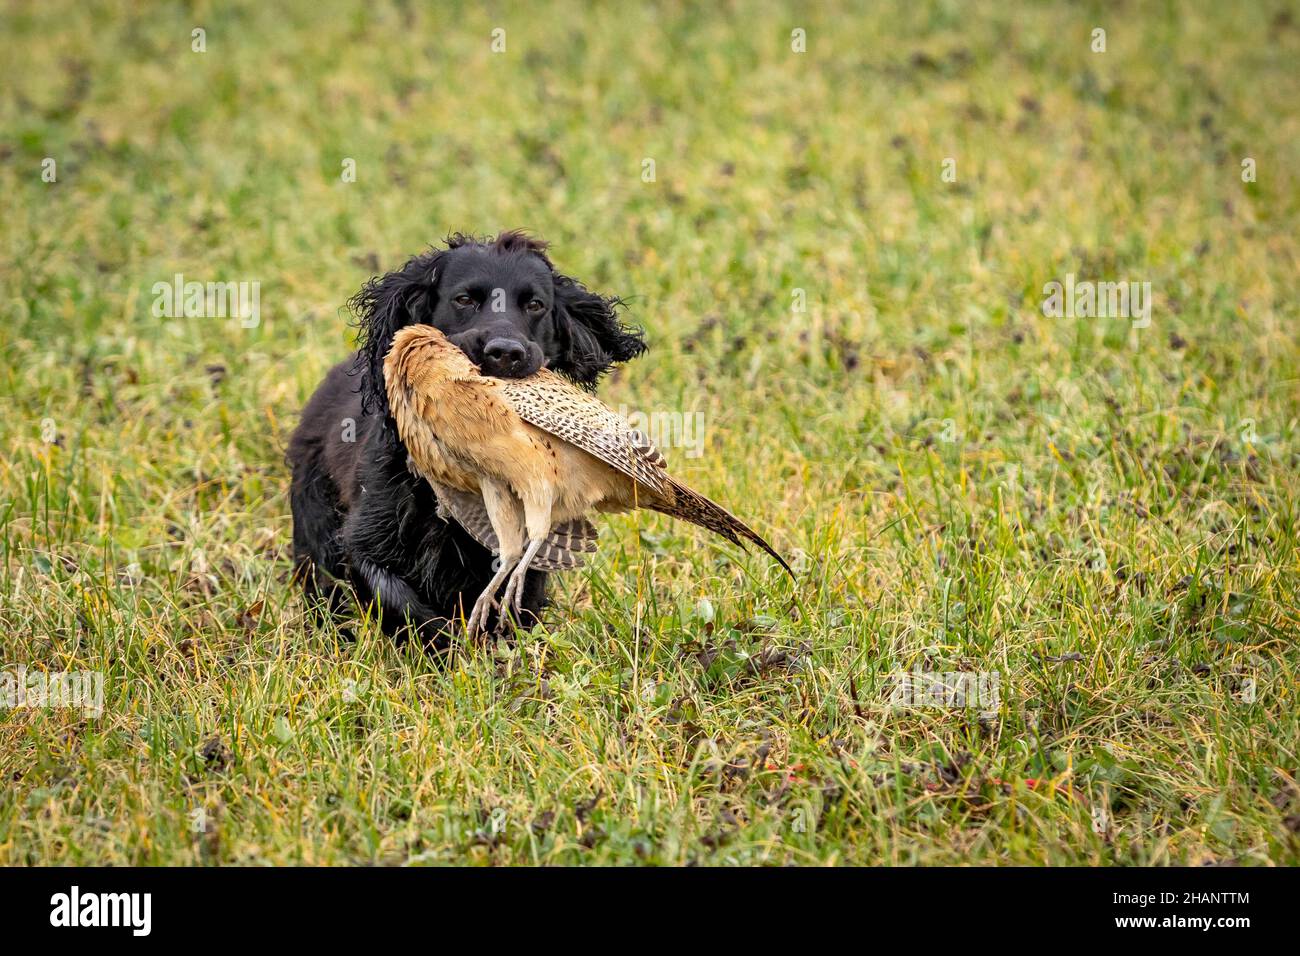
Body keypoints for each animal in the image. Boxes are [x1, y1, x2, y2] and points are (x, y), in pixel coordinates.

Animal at [289, 231, 644, 650]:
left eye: (536, 305)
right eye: (464, 299)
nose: (505, 353)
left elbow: (514, 595)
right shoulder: (364, 540)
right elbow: (400, 600)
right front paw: (453, 648)